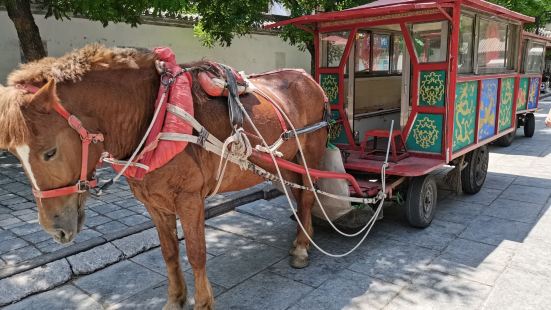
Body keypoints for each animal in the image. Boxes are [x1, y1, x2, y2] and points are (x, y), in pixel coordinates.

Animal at [0, 44, 328, 308]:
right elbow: (169, 253)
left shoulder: (190, 200)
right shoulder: (153, 203)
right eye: (13, 154)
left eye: (50, 152)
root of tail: (307, 77)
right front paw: (175, 300)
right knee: (298, 194)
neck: (156, 114)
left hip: (309, 153)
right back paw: (304, 235)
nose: (55, 229)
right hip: (286, 162)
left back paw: (302, 247)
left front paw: (203, 303)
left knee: (308, 196)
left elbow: (196, 254)